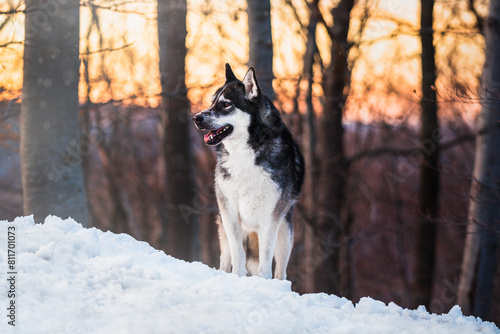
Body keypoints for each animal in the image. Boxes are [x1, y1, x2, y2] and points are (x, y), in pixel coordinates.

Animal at [193, 64, 304, 280]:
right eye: (212, 102)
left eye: (226, 104)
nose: (196, 118)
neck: (244, 154)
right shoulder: (229, 213)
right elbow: (238, 254)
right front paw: (237, 276)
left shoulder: (270, 219)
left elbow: (265, 262)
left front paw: (263, 281)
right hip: (225, 231)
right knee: (226, 259)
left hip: (285, 234)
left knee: (280, 270)